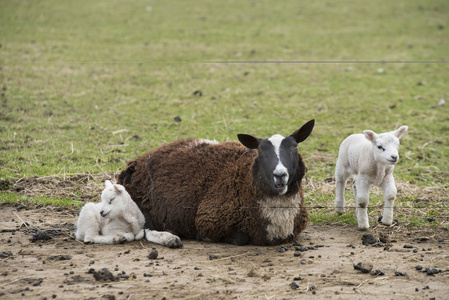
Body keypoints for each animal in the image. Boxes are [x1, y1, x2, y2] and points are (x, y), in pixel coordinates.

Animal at [119, 119, 316, 246]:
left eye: (294, 147)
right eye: (260, 151)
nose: (280, 175)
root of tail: (134, 164)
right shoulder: (208, 220)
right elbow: (240, 239)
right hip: (140, 202)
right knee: (145, 228)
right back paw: (169, 238)